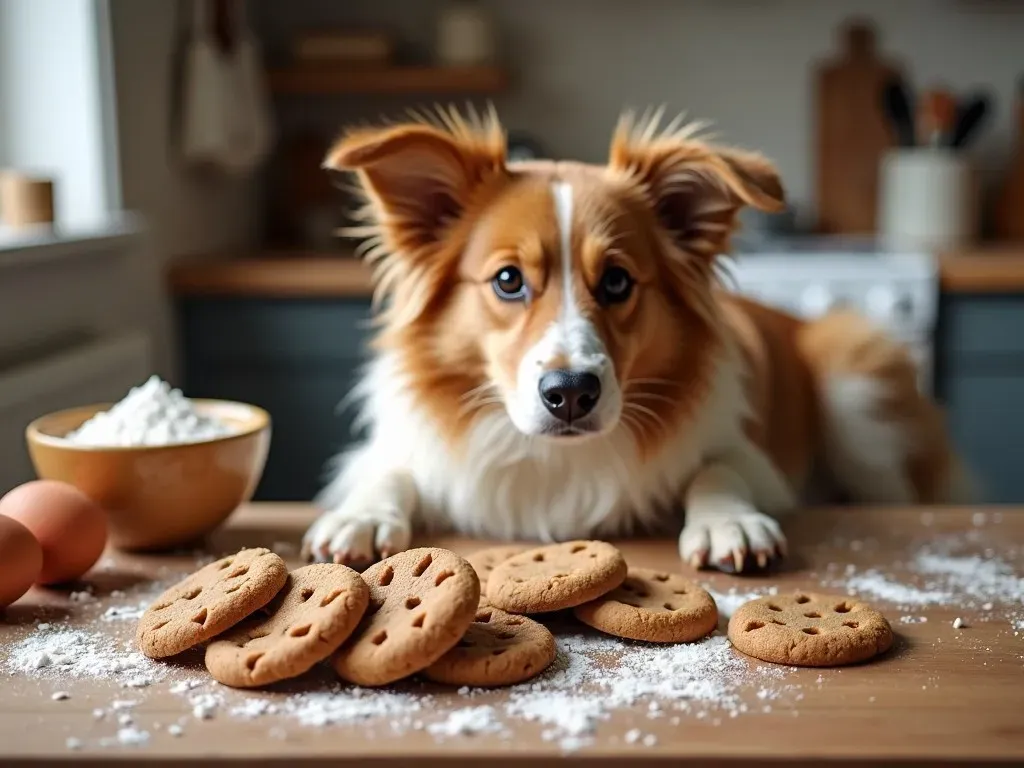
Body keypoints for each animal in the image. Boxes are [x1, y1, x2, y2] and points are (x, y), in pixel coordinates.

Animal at [299, 108, 966, 573]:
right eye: (508, 280)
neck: (556, 460)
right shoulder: (401, 450)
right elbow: (389, 469)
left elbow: (717, 468)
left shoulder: (760, 462)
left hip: (854, 396)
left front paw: (728, 523)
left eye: (617, 280)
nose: (570, 393)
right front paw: (362, 515)